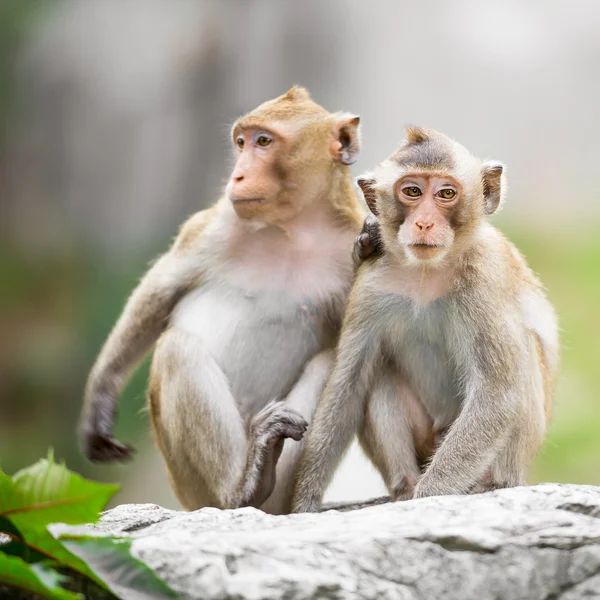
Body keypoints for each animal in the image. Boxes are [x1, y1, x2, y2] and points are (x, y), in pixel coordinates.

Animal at [79, 86, 366, 512]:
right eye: (241, 142)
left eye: (264, 142)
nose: (238, 175)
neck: (294, 229)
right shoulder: (218, 225)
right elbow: (161, 289)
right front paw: (100, 400)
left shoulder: (356, 246)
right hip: (191, 484)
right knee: (177, 349)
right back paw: (242, 486)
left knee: (330, 361)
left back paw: (262, 482)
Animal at [292, 126, 560, 510]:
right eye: (412, 192)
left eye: (446, 193)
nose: (424, 222)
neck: (426, 274)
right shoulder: (371, 284)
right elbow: (347, 386)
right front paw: (305, 503)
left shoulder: (485, 278)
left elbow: (498, 394)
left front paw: (430, 496)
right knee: (378, 371)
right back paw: (405, 486)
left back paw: (488, 484)